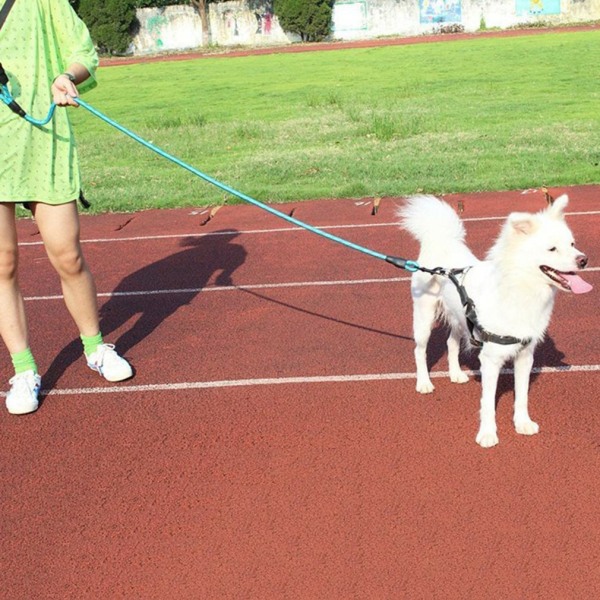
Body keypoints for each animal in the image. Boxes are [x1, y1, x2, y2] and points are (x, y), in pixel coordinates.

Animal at [398, 195, 592, 448]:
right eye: (552, 248)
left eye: (572, 244)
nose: (584, 260)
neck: (520, 290)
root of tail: (441, 241)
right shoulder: (490, 360)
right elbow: (488, 403)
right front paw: (487, 434)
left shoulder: (525, 356)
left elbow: (522, 396)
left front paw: (522, 423)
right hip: (424, 317)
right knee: (419, 351)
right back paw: (423, 383)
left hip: (460, 319)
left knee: (451, 343)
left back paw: (455, 374)